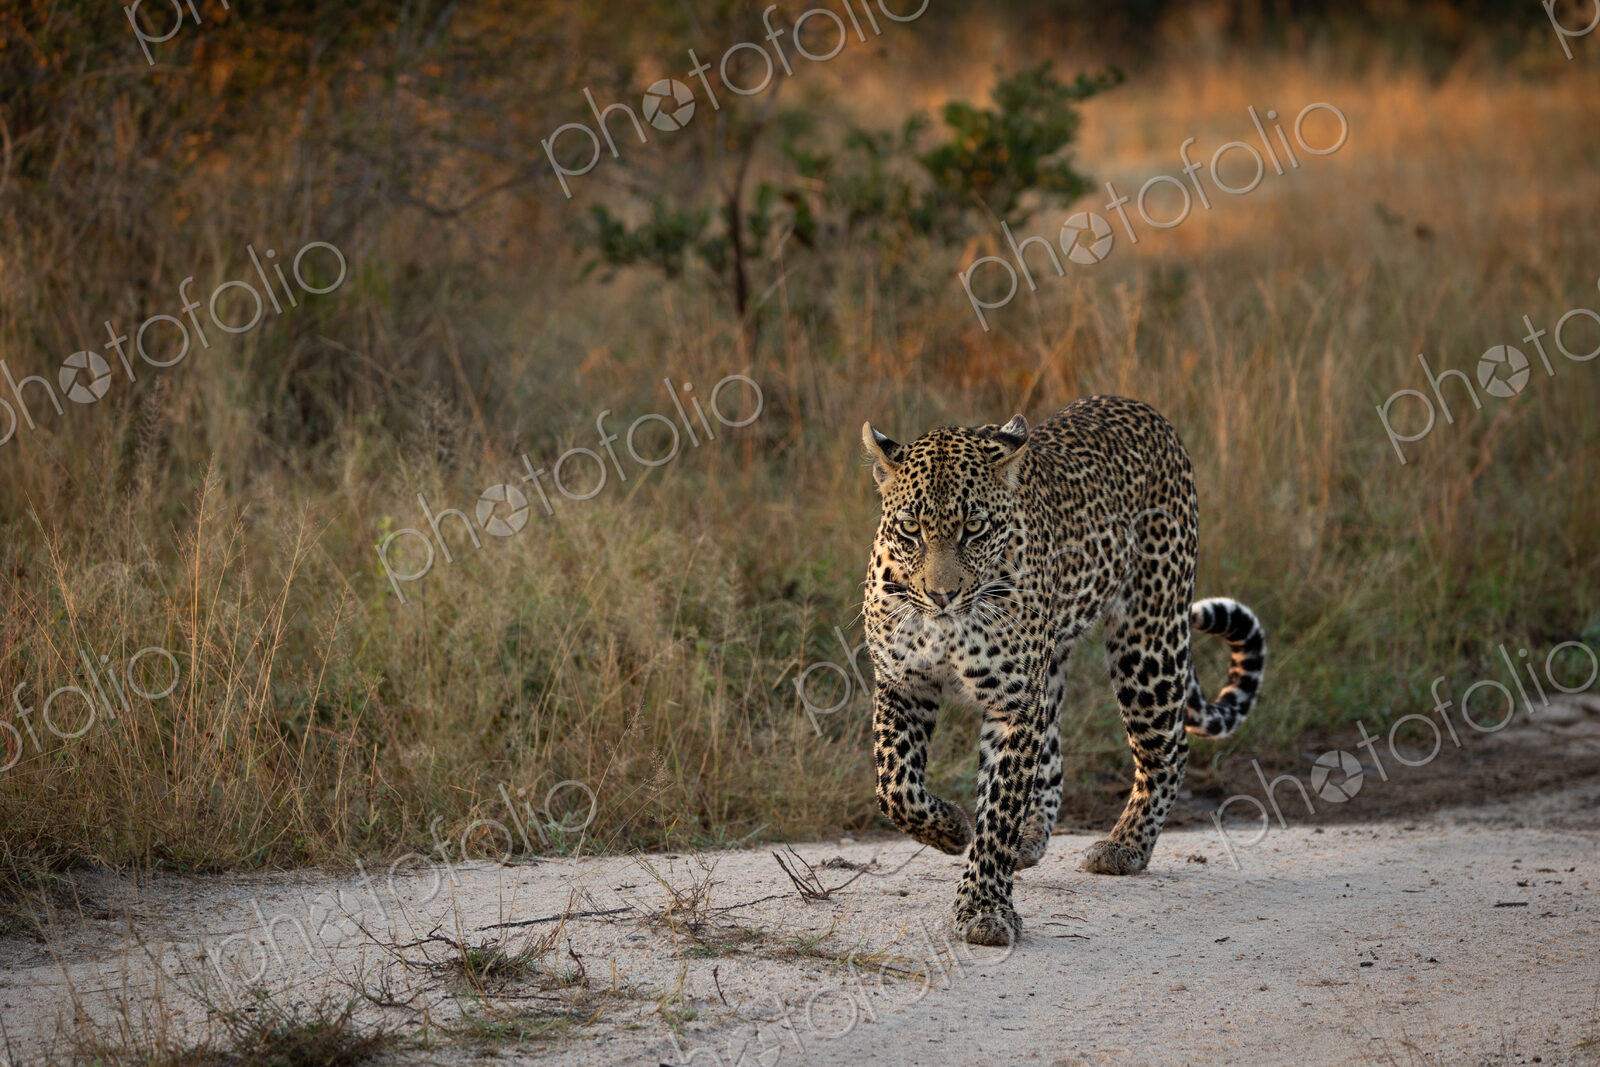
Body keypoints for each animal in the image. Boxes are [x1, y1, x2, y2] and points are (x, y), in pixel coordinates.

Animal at [860, 395, 1266, 946]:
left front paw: (983, 908)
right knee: (1051, 760)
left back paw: (1124, 847)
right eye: (910, 528)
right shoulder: (904, 682)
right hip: (1052, 669)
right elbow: (896, 787)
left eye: (974, 528)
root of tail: (1145, 410)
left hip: (1147, 640)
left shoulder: (1013, 705)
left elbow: (999, 808)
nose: (942, 595)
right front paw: (952, 829)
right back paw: (1030, 839)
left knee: (1168, 749)